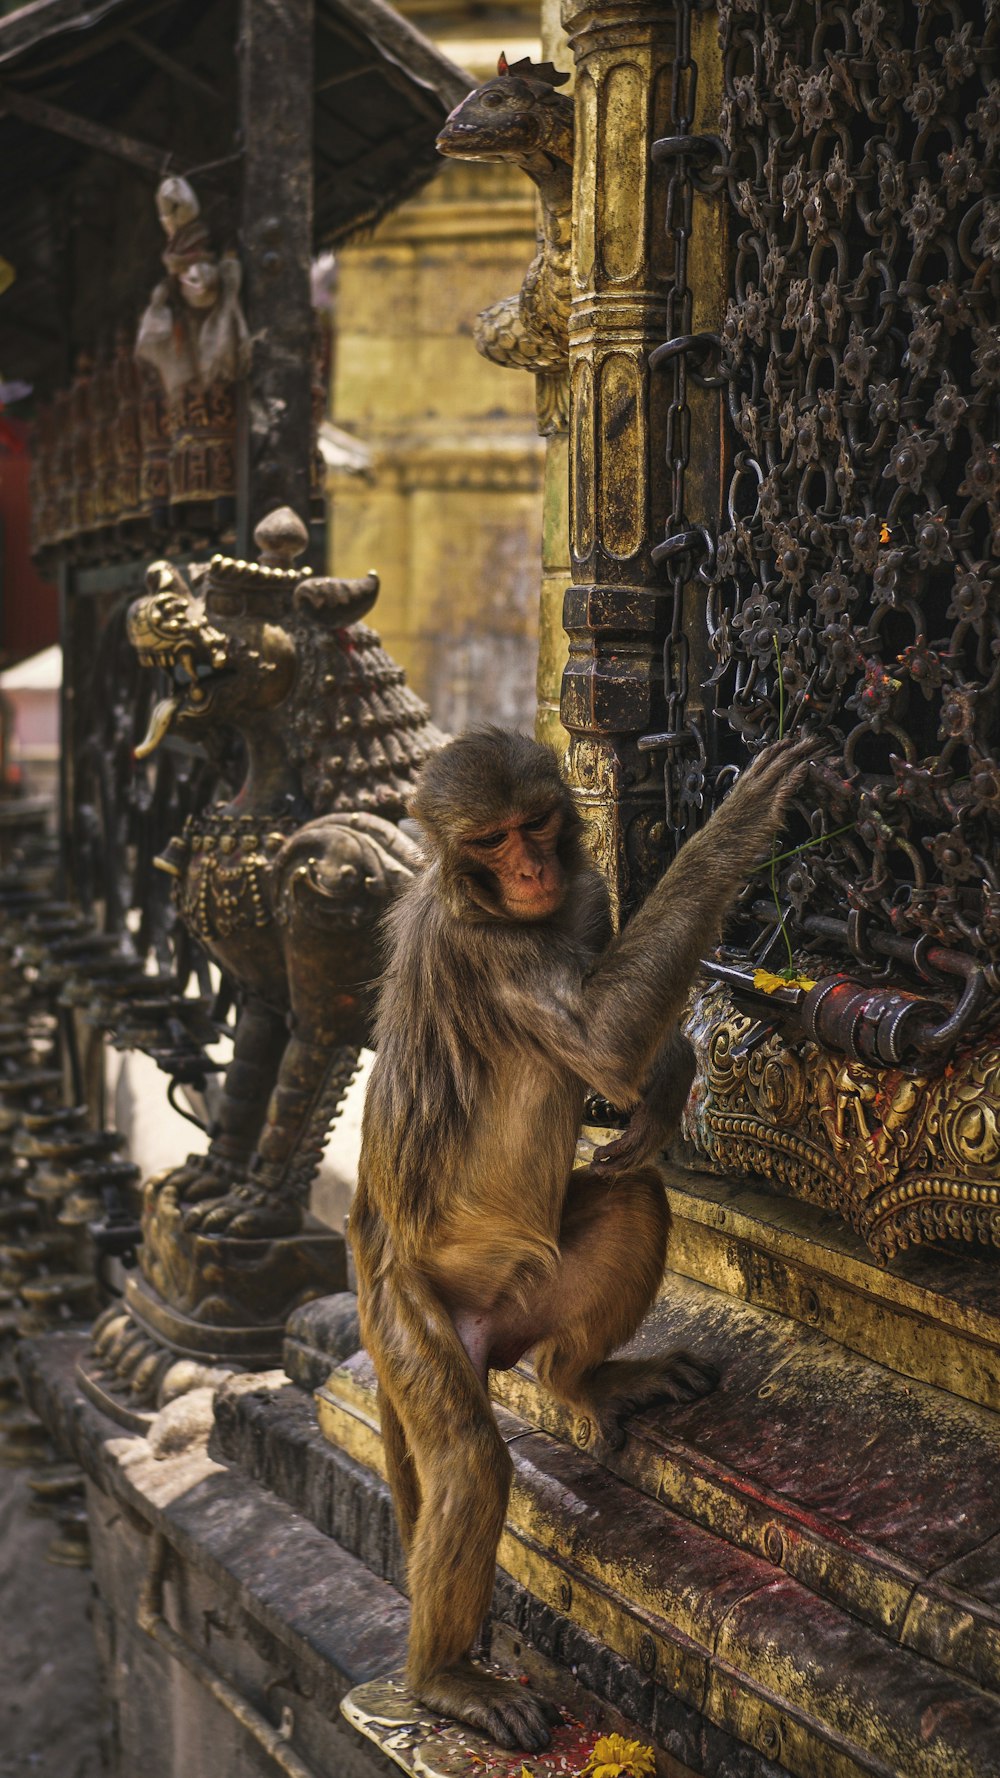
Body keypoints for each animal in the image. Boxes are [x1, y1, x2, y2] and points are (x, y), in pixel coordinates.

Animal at [346, 721, 814, 1749]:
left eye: (533, 825)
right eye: (488, 842)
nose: (526, 871)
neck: (512, 913)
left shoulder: (586, 891)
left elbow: (617, 1044)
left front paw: (669, 1079)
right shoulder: (489, 954)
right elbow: (598, 1036)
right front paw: (738, 823)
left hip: (534, 1301)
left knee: (635, 1199)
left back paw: (581, 1379)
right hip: (405, 1318)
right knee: (471, 1461)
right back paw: (446, 1678)